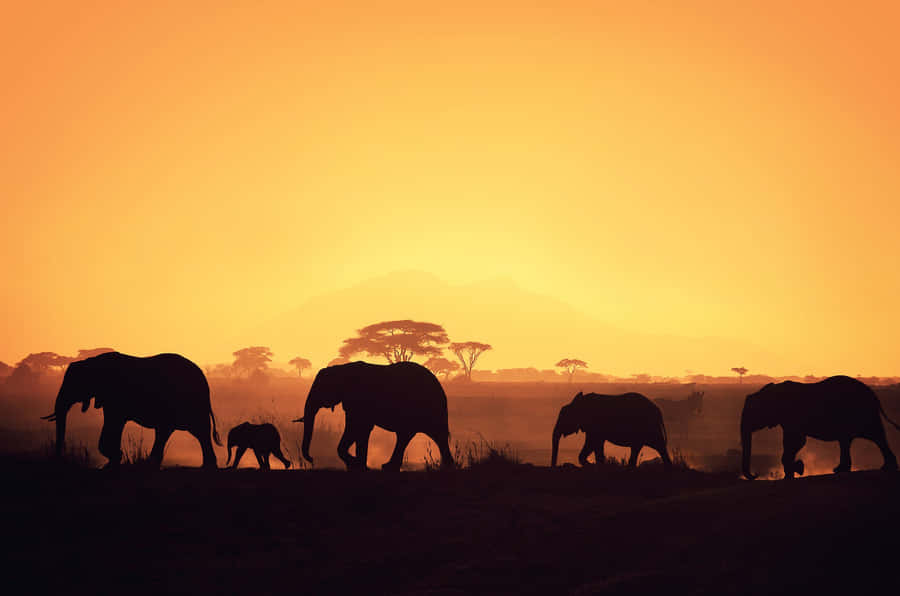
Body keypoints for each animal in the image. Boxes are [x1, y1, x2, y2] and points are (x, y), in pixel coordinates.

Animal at [41, 352, 221, 469]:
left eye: (74, 384)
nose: (59, 460)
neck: (91, 362)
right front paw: (113, 461)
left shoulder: (116, 395)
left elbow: (115, 422)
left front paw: (115, 459)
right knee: (180, 431)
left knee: (195, 430)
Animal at [294, 361, 454, 471]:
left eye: (320, 389)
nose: (312, 459)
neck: (341, 368)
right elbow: (360, 430)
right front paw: (358, 466)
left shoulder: (360, 400)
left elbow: (356, 428)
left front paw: (357, 465)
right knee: (410, 435)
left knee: (429, 435)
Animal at [741, 375, 900, 480]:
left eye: (753, 413)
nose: (755, 475)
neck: (771, 391)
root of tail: (873, 394)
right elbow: (793, 442)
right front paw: (794, 471)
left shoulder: (793, 416)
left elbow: (796, 441)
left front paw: (798, 469)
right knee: (849, 440)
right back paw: (841, 470)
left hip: (862, 411)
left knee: (875, 436)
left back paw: (886, 468)